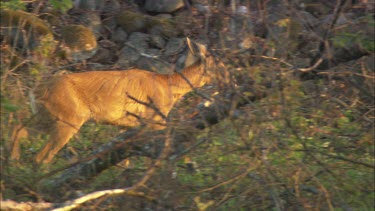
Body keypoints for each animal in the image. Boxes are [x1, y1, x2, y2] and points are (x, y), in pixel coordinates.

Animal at [12, 38, 220, 164]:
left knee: (19, 130)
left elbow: (124, 159)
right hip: (68, 117)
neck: (167, 86)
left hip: (46, 116)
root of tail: (35, 90)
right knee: (42, 156)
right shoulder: (155, 119)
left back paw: (16, 165)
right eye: (218, 63)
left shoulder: (126, 125)